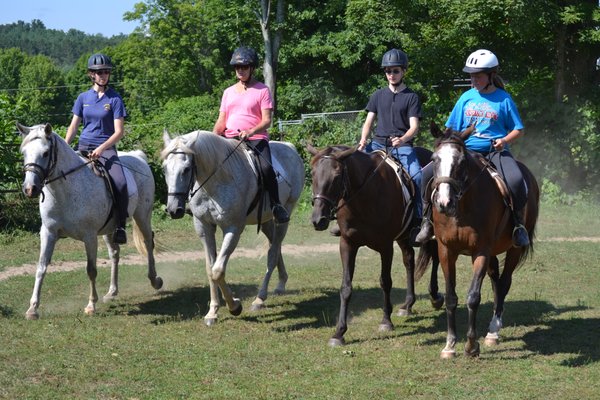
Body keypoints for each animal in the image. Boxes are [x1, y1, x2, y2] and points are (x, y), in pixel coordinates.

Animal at [19, 122, 164, 318]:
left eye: (46, 153)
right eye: (24, 152)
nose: (30, 189)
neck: (65, 190)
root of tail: (138, 156)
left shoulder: (89, 236)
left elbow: (91, 269)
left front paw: (91, 305)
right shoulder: (48, 233)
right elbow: (41, 267)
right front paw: (33, 309)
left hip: (142, 216)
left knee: (148, 243)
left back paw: (155, 280)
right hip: (110, 228)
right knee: (115, 253)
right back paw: (112, 292)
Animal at [161, 130, 304, 324]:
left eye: (187, 169)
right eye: (164, 169)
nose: (173, 209)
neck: (217, 180)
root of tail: (289, 147)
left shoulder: (233, 228)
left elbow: (218, 270)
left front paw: (234, 306)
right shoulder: (203, 227)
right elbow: (210, 268)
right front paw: (212, 312)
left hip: (285, 214)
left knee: (272, 254)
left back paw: (260, 298)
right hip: (267, 220)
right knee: (275, 245)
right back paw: (281, 283)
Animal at [310, 145, 440, 346]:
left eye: (337, 176)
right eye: (313, 173)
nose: (318, 220)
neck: (365, 196)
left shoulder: (385, 246)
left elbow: (385, 282)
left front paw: (386, 321)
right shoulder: (347, 244)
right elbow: (346, 287)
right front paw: (339, 333)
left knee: (436, 258)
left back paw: (435, 296)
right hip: (403, 236)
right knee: (409, 260)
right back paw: (408, 304)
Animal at [418, 122, 540, 360]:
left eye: (461, 162)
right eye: (435, 159)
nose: (444, 202)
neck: (462, 207)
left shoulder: (481, 250)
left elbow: (473, 296)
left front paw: (471, 345)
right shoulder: (446, 250)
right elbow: (451, 297)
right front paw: (449, 345)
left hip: (513, 249)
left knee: (504, 282)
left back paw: (493, 331)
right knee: (495, 279)